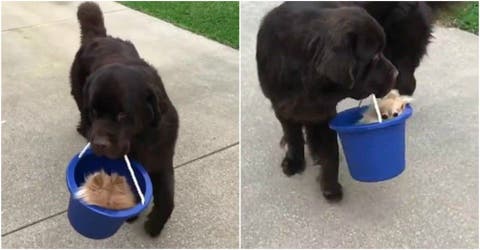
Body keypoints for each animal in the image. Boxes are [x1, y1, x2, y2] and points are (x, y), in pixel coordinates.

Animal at [69, 1, 178, 236]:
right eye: (95, 112)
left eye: (122, 115)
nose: (99, 144)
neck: (142, 138)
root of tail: (98, 37)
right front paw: (132, 214)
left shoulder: (162, 157)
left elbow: (168, 197)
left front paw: (155, 225)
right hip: (78, 92)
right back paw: (83, 129)